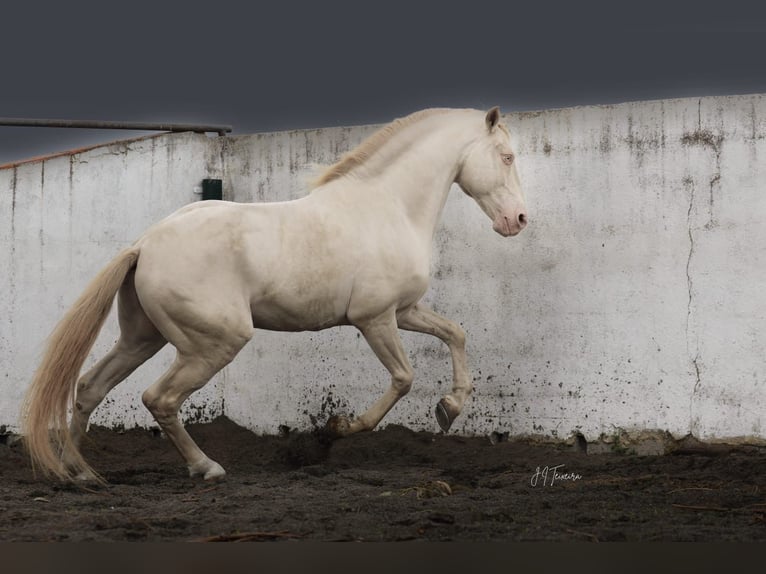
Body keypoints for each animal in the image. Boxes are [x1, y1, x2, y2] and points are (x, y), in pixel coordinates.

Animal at [22, 107, 528, 482]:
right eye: (506, 156)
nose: (519, 220)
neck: (389, 207)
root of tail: (145, 244)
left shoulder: (406, 310)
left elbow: (456, 334)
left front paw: (450, 409)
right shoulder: (375, 317)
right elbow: (403, 378)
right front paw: (337, 430)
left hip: (143, 338)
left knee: (91, 387)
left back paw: (77, 472)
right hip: (214, 343)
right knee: (159, 399)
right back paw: (207, 468)